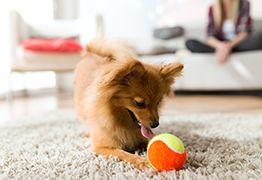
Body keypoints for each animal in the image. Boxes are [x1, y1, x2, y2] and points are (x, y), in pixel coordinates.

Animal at [73, 38, 184, 170]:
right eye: (139, 104)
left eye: (158, 102)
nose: (155, 124)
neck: (123, 122)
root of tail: (90, 53)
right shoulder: (101, 148)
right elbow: (122, 154)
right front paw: (142, 161)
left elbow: (150, 141)